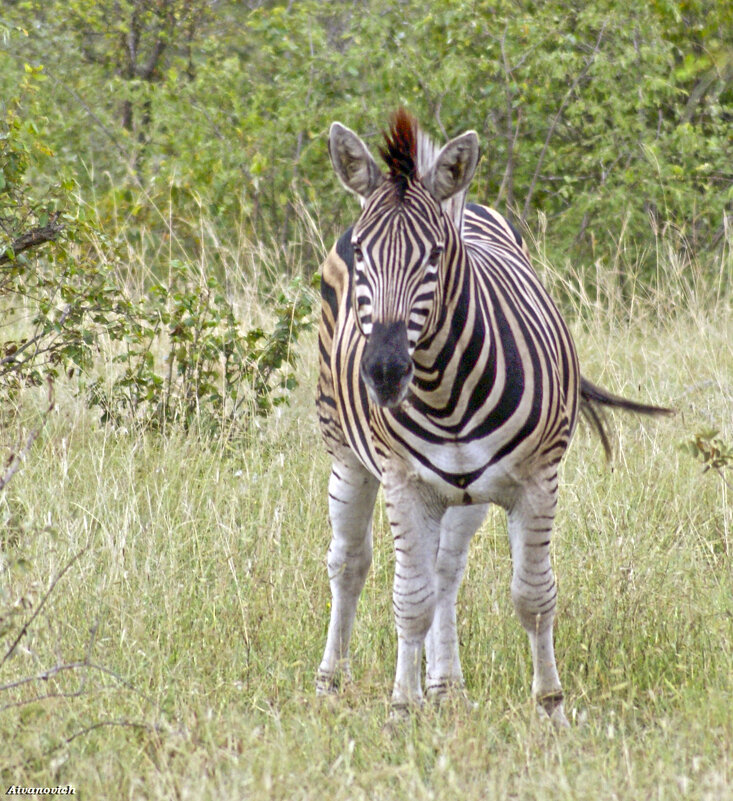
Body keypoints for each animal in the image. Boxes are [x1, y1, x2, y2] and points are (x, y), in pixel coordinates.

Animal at [314, 108, 668, 724]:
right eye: (360, 254)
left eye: (435, 254)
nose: (383, 372)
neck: (444, 391)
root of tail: (471, 203)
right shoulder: (403, 483)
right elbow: (408, 601)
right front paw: (401, 709)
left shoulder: (538, 481)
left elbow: (533, 596)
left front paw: (550, 707)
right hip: (348, 455)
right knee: (351, 564)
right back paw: (332, 681)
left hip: (465, 493)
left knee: (444, 572)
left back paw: (446, 687)